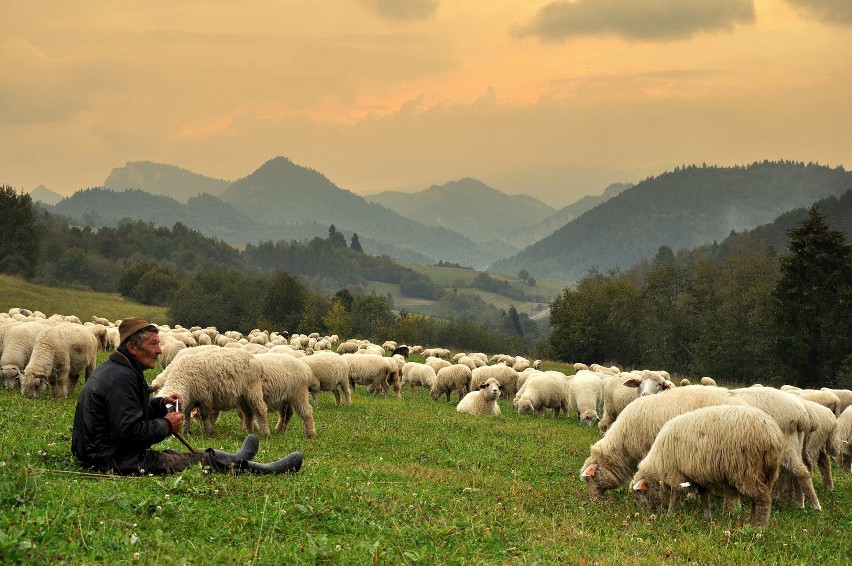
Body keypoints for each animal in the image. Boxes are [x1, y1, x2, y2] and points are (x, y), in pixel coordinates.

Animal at [628, 406, 784, 532]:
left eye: (639, 492)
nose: (642, 511)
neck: (657, 464)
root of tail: (773, 436)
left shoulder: (675, 474)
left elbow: (675, 497)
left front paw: (669, 515)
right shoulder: (699, 477)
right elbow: (705, 498)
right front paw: (707, 518)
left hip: (748, 471)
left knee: (763, 500)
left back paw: (760, 527)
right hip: (764, 474)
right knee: (755, 500)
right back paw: (751, 523)